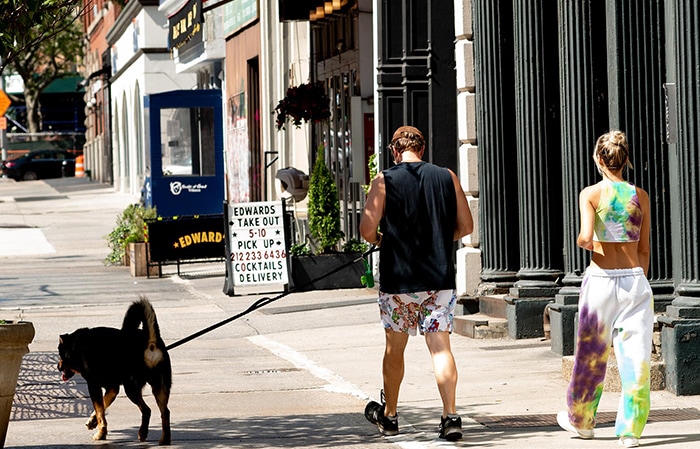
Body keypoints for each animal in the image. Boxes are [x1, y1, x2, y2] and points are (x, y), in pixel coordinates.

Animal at [57, 296, 172, 442]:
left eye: (60, 355)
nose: (58, 367)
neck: (77, 346)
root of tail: (149, 342)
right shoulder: (112, 388)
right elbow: (102, 406)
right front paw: (92, 421)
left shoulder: (94, 385)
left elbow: (100, 412)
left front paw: (101, 433)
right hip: (160, 387)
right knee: (165, 412)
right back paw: (164, 439)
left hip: (131, 387)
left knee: (147, 410)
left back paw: (143, 432)